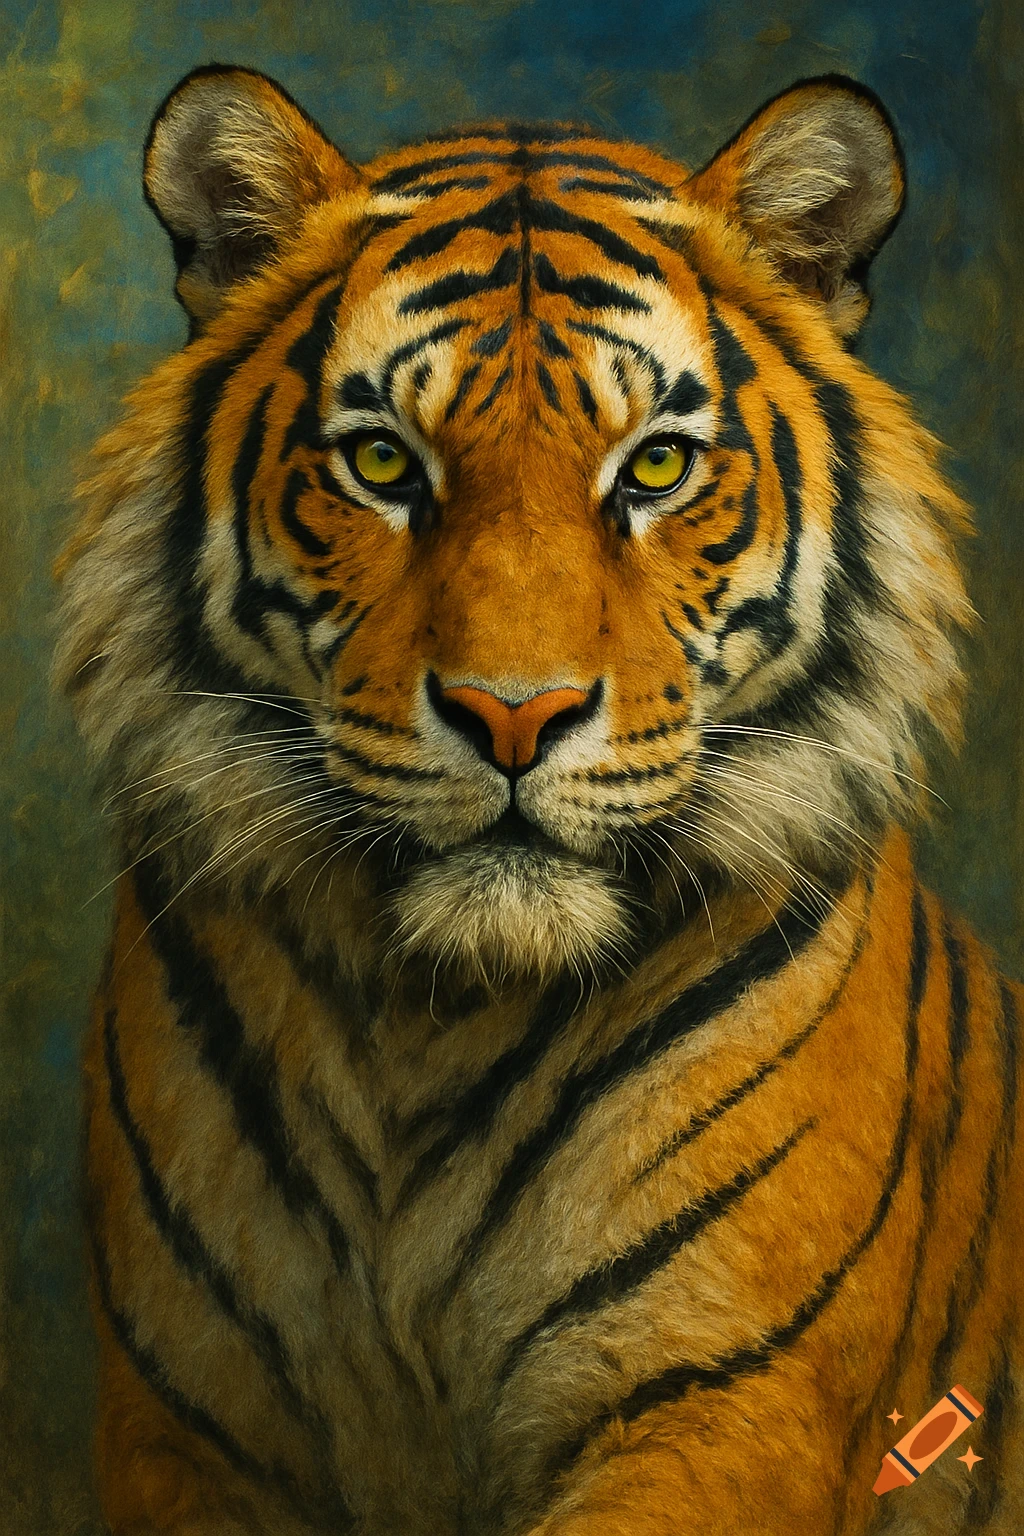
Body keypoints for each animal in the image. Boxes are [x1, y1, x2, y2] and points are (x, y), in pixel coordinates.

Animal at [54, 61, 1023, 1536]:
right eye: (383, 465)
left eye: (657, 467)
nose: (515, 714)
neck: (432, 1017)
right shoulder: (188, 1428)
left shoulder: (724, 1399)